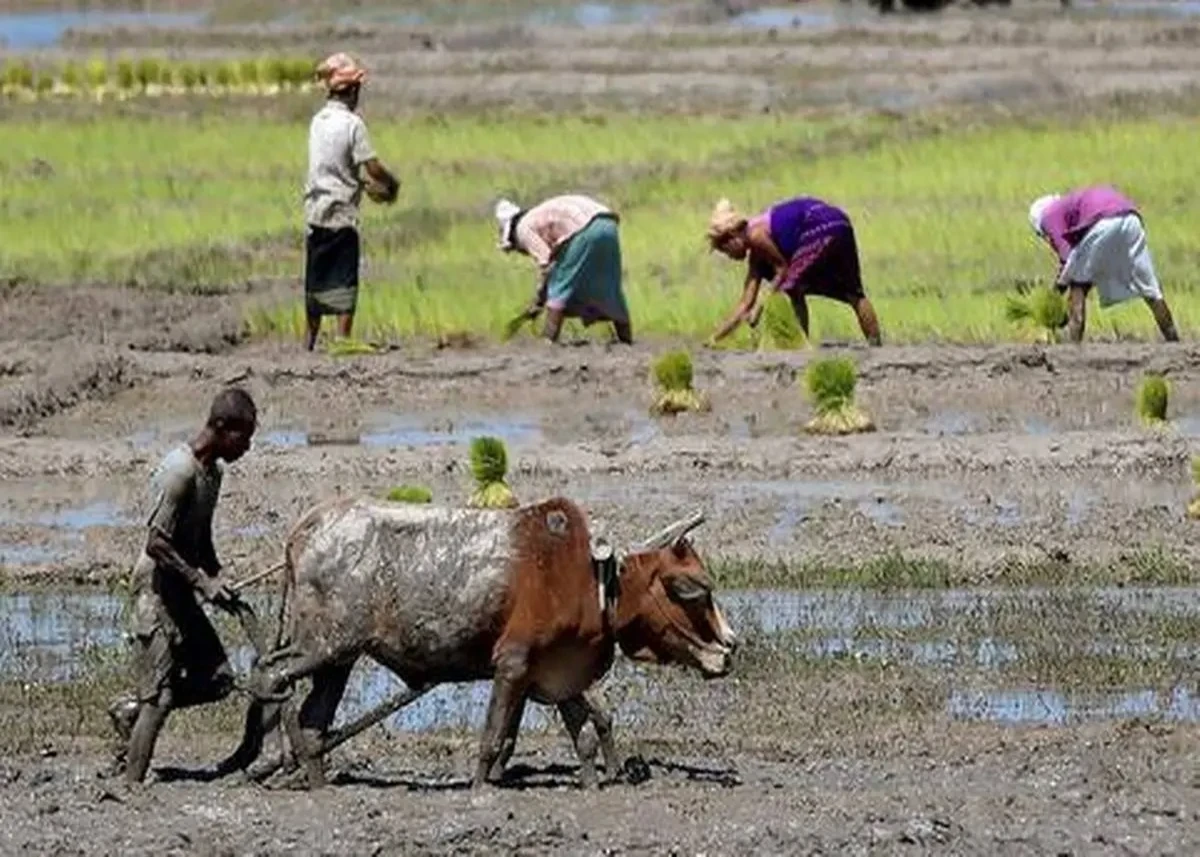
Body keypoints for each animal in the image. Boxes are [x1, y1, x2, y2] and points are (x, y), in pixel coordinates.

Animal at [224, 494, 729, 787]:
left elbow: (585, 734)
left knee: (313, 721)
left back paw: (317, 784)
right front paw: (482, 789)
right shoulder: (512, 664)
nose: (729, 648)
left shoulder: (559, 670)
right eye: (691, 588)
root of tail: (307, 526)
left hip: (338, 660)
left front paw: (592, 785)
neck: (591, 577)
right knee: (270, 675)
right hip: (322, 646)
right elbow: (493, 739)